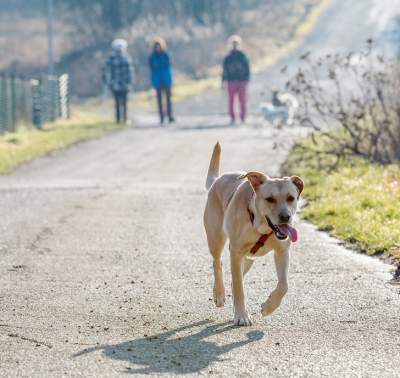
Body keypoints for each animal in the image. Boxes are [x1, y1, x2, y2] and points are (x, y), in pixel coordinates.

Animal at [203, 143, 304, 326]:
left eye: (290, 198)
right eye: (270, 199)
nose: (285, 217)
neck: (261, 226)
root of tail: (217, 180)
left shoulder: (282, 252)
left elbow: (284, 285)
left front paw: (269, 307)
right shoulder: (235, 252)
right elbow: (239, 288)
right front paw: (242, 315)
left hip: (248, 259)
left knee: (236, 276)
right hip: (216, 239)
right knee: (217, 264)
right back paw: (219, 294)